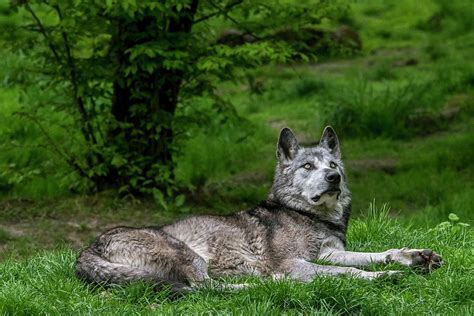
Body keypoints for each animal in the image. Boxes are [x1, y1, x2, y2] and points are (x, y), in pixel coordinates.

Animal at [76, 125, 442, 292]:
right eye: (307, 166)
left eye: (333, 164)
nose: (334, 178)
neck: (309, 216)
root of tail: (84, 252)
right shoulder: (297, 263)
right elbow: (351, 272)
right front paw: (387, 276)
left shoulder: (328, 253)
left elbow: (375, 254)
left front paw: (413, 257)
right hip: (188, 255)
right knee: (204, 288)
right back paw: (274, 285)